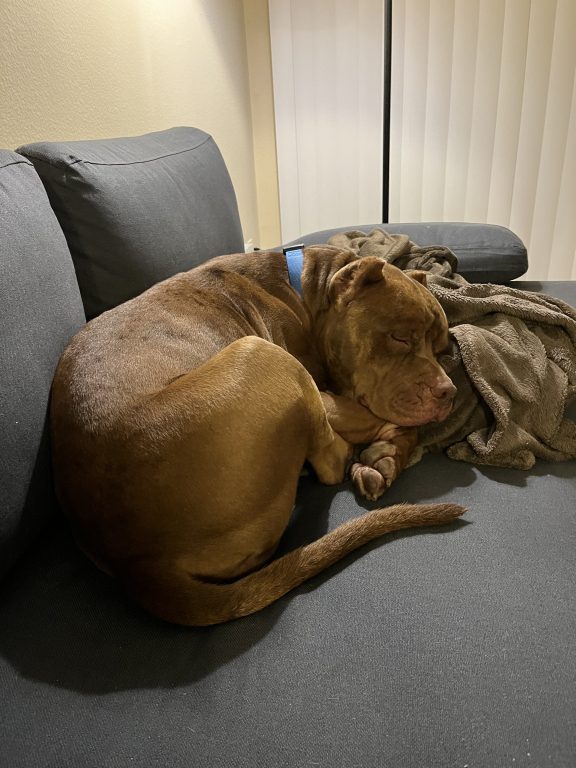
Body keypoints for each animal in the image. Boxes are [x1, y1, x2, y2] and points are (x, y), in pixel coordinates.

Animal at [50, 246, 464, 625]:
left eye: (442, 348)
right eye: (400, 338)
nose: (449, 392)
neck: (305, 291)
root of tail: (135, 564)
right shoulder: (318, 389)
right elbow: (376, 419)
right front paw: (390, 449)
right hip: (261, 353)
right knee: (330, 462)